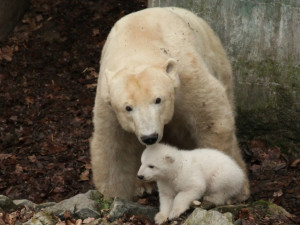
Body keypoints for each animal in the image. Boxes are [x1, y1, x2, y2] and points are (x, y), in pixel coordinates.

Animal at [90, 7, 250, 200]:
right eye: (128, 108)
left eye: (158, 100)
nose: (149, 137)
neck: (138, 46)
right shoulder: (108, 99)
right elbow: (113, 145)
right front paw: (115, 194)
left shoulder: (186, 79)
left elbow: (212, 122)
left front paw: (233, 188)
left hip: (217, 59)